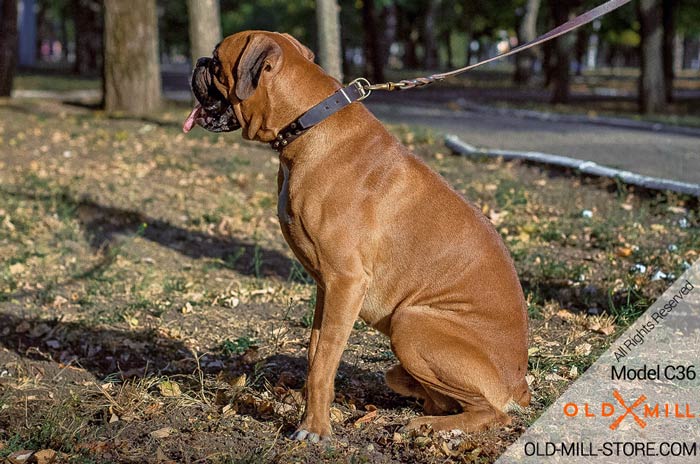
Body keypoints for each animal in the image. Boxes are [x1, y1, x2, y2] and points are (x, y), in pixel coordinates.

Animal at [183, 29, 528, 442]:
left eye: (217, 61)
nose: (199, 60)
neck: (308, 123)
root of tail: (520, 385)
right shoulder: (326, 285)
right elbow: (316, 352)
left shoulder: (346, 281)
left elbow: (323, 362)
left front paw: (314, 427)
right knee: (434, 395)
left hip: (411, 323)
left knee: (491, 412)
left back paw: (431, 426)